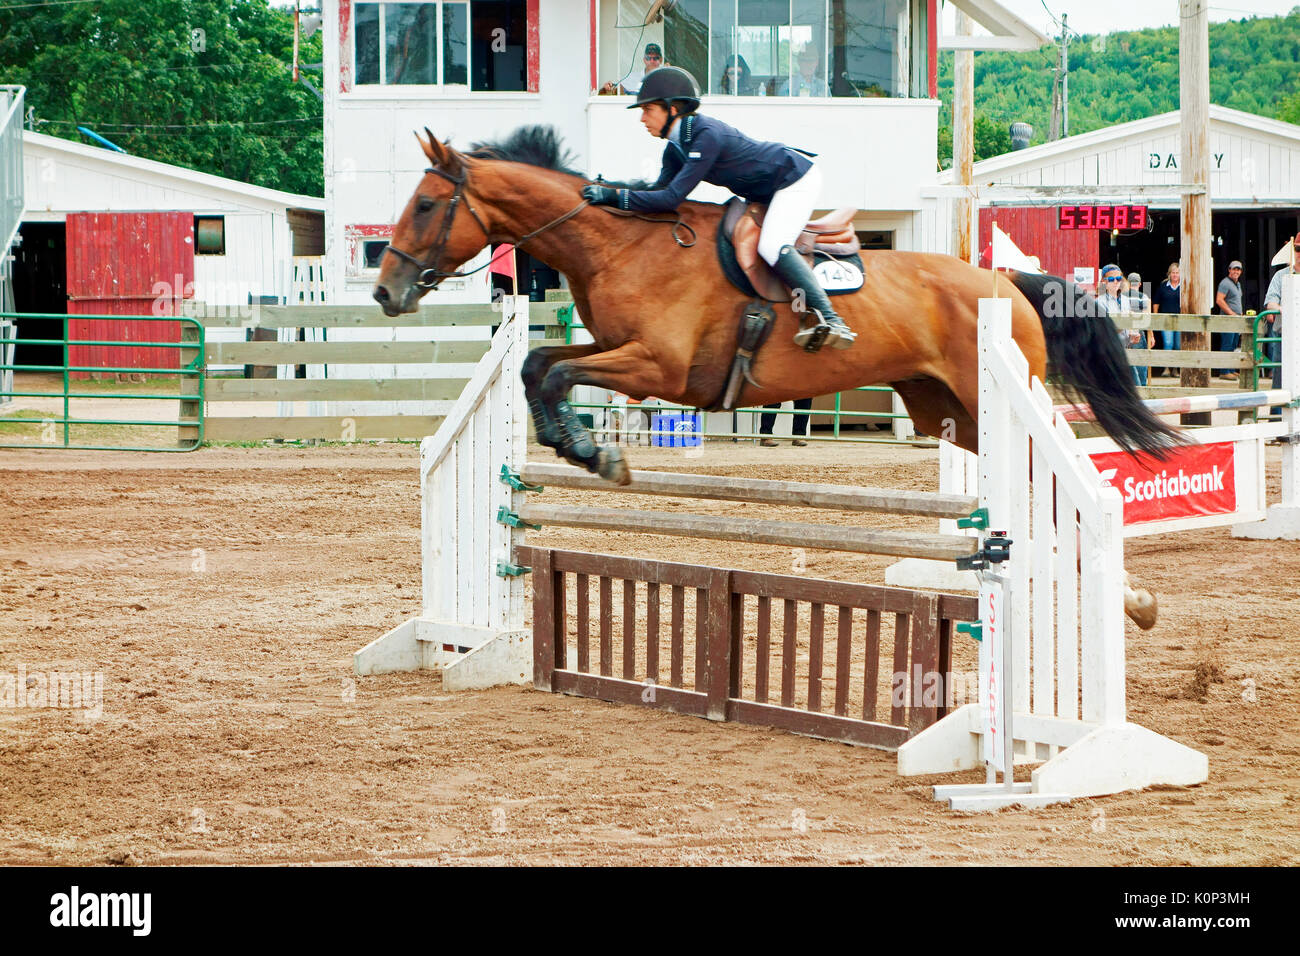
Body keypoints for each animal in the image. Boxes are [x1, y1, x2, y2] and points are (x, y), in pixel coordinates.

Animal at [373, 126, 1180, 629]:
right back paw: (1131, 600)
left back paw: (1125, 595)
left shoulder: (659, 366)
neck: (619, 243)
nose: (386, 293)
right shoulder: (619, 351)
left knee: (1059, 479)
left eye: (426, 204)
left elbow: (554, 370)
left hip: (995, 393)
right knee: (1038, 487)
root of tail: (1006, 281)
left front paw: (593, 453)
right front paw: (576, 445)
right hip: (950, 413)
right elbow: (539, 367)